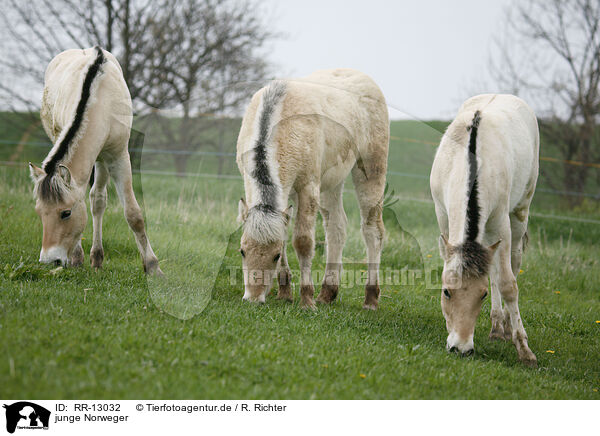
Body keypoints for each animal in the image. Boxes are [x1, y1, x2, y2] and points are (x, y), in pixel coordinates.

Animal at [28, 46, 162, 274]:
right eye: (39, 212)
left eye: (66, 213)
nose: (49, 260)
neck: (101, 100)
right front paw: (76, 257)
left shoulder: (118, 156)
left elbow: (133, 214)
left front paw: (152, 267)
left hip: (102, 158)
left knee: (97, 199)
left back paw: (97, 257)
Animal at [236, 70, 390, 310]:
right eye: (242, 251)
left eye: (275, 256)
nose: (253, 298)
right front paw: (285, 292)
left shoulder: (308, 187)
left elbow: (303, 242)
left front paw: (306, 300)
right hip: (332, 181)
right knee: (337, 227)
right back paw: (327, 292)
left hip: (371, 168)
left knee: (373, 230)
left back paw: (370, 298)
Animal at [432, 93, 540, 366]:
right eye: (446, 292)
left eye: (481, 296)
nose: (461, 348)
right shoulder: (443, 215)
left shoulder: (500, 225)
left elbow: (508, 284)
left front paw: (524, 349)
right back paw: (497, 326)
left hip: (520, 212)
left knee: (512, 265)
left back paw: (504, 326)